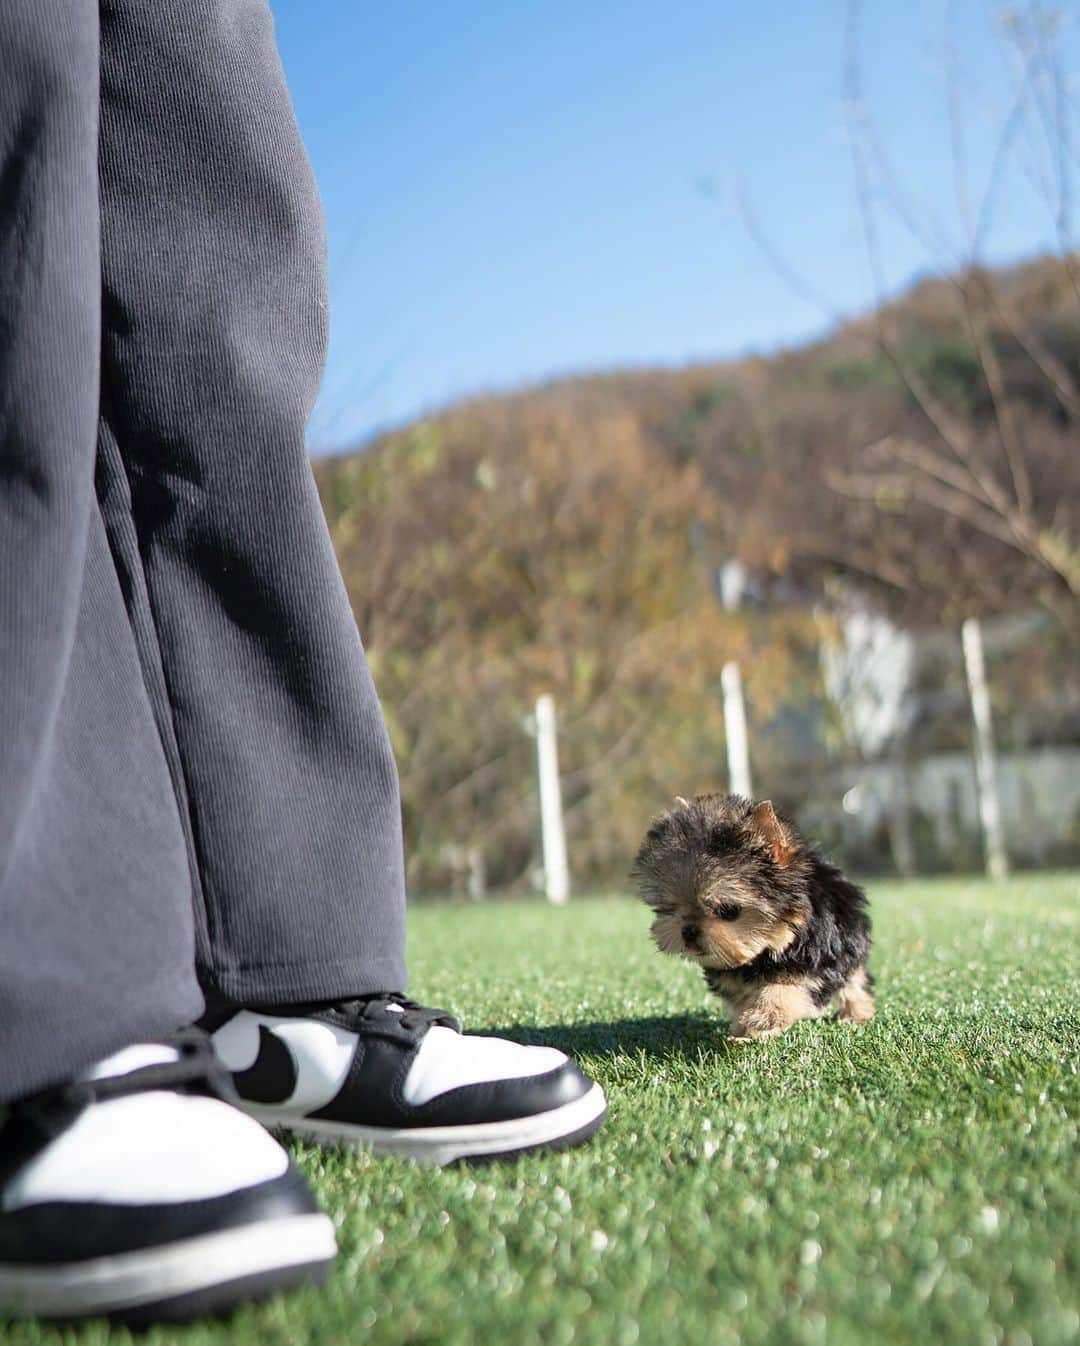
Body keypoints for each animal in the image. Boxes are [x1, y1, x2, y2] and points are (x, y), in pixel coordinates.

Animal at [630, 791, 872, 1044]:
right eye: (670, 907)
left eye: (727, 910)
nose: (687, 930)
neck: (765, 950)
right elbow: (743, 1003)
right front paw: (744, 1032)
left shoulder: (815, 964)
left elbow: (788, 988)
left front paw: (765, 1016)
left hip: (848, 946)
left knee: (855, 982)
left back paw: (856, 1014)